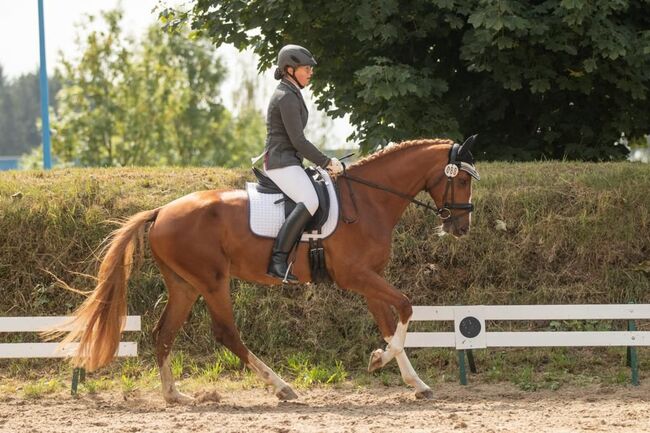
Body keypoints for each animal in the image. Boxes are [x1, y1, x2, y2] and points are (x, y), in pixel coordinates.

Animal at [54, 136, 476, 402]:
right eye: (462, 180)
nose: (461, 228)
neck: (370, 199)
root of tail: (161, 211)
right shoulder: (356, 276)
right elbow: (405, 307)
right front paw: (381, 362)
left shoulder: (369, 279)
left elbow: (390, 325)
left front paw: (411, 380)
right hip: (213, 281)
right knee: (226, 333)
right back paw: (282, 387)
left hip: (185, 285)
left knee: (164, 334)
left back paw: (175, 395)